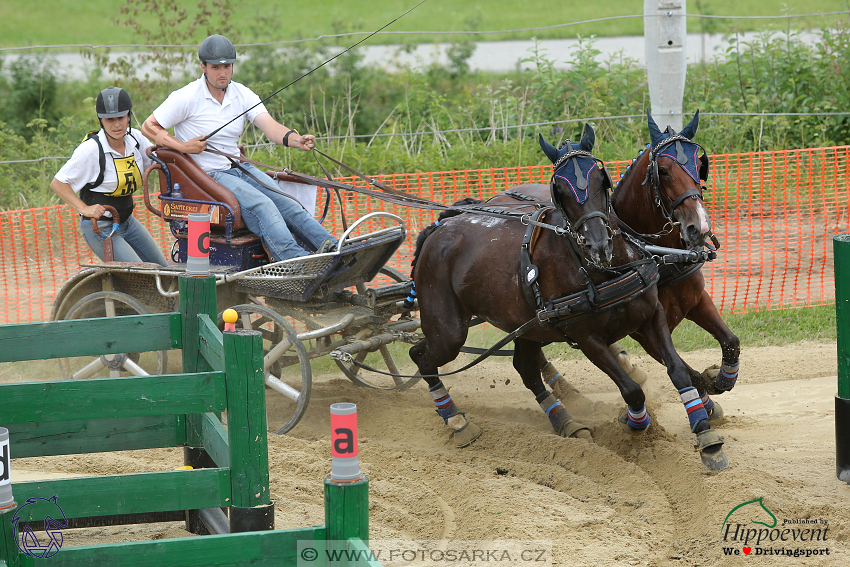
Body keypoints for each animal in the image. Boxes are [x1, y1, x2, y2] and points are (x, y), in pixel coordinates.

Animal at [408, 124, 724, 470]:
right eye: (559, 189)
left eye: (700, 163)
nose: (697, 227)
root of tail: (441, 227)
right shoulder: (589, 337)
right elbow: (633, 392)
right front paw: (633, 424)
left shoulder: (655, 315)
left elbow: (683, 369)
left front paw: (706, 431)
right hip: (448, 331)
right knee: (421, 357)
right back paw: (457, 420)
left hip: (528, 325)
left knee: (523, 368)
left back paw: (564, 420)